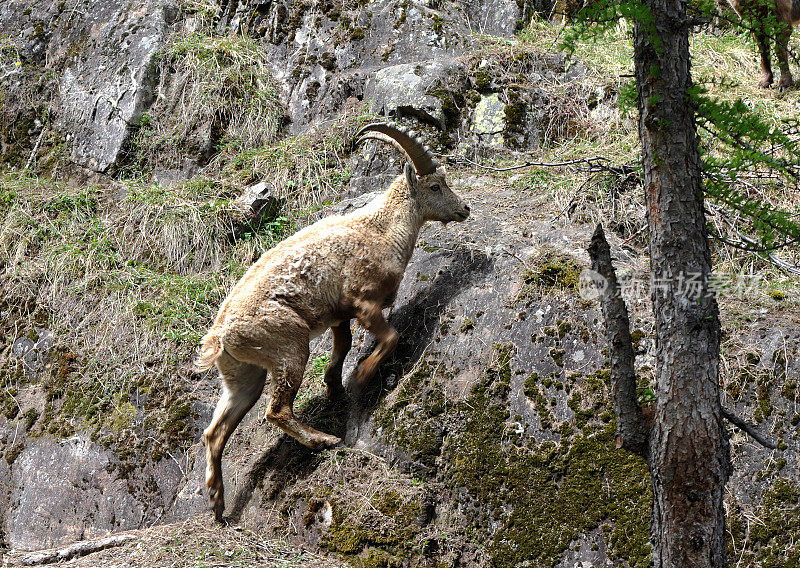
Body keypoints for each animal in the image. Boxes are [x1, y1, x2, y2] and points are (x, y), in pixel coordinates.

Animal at [195, 123, 468, 520]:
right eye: (435, 186)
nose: (464, 208)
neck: (381, 229)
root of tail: (219, 337)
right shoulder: (364, 302)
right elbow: (390, 337)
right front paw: (362, 376)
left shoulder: (339, 315)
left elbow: (343, 346)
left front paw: (334, 385)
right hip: (289, 345)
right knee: (276, 411)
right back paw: (322, 440)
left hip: (243, 375)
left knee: (215, 432)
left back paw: (217, 499)